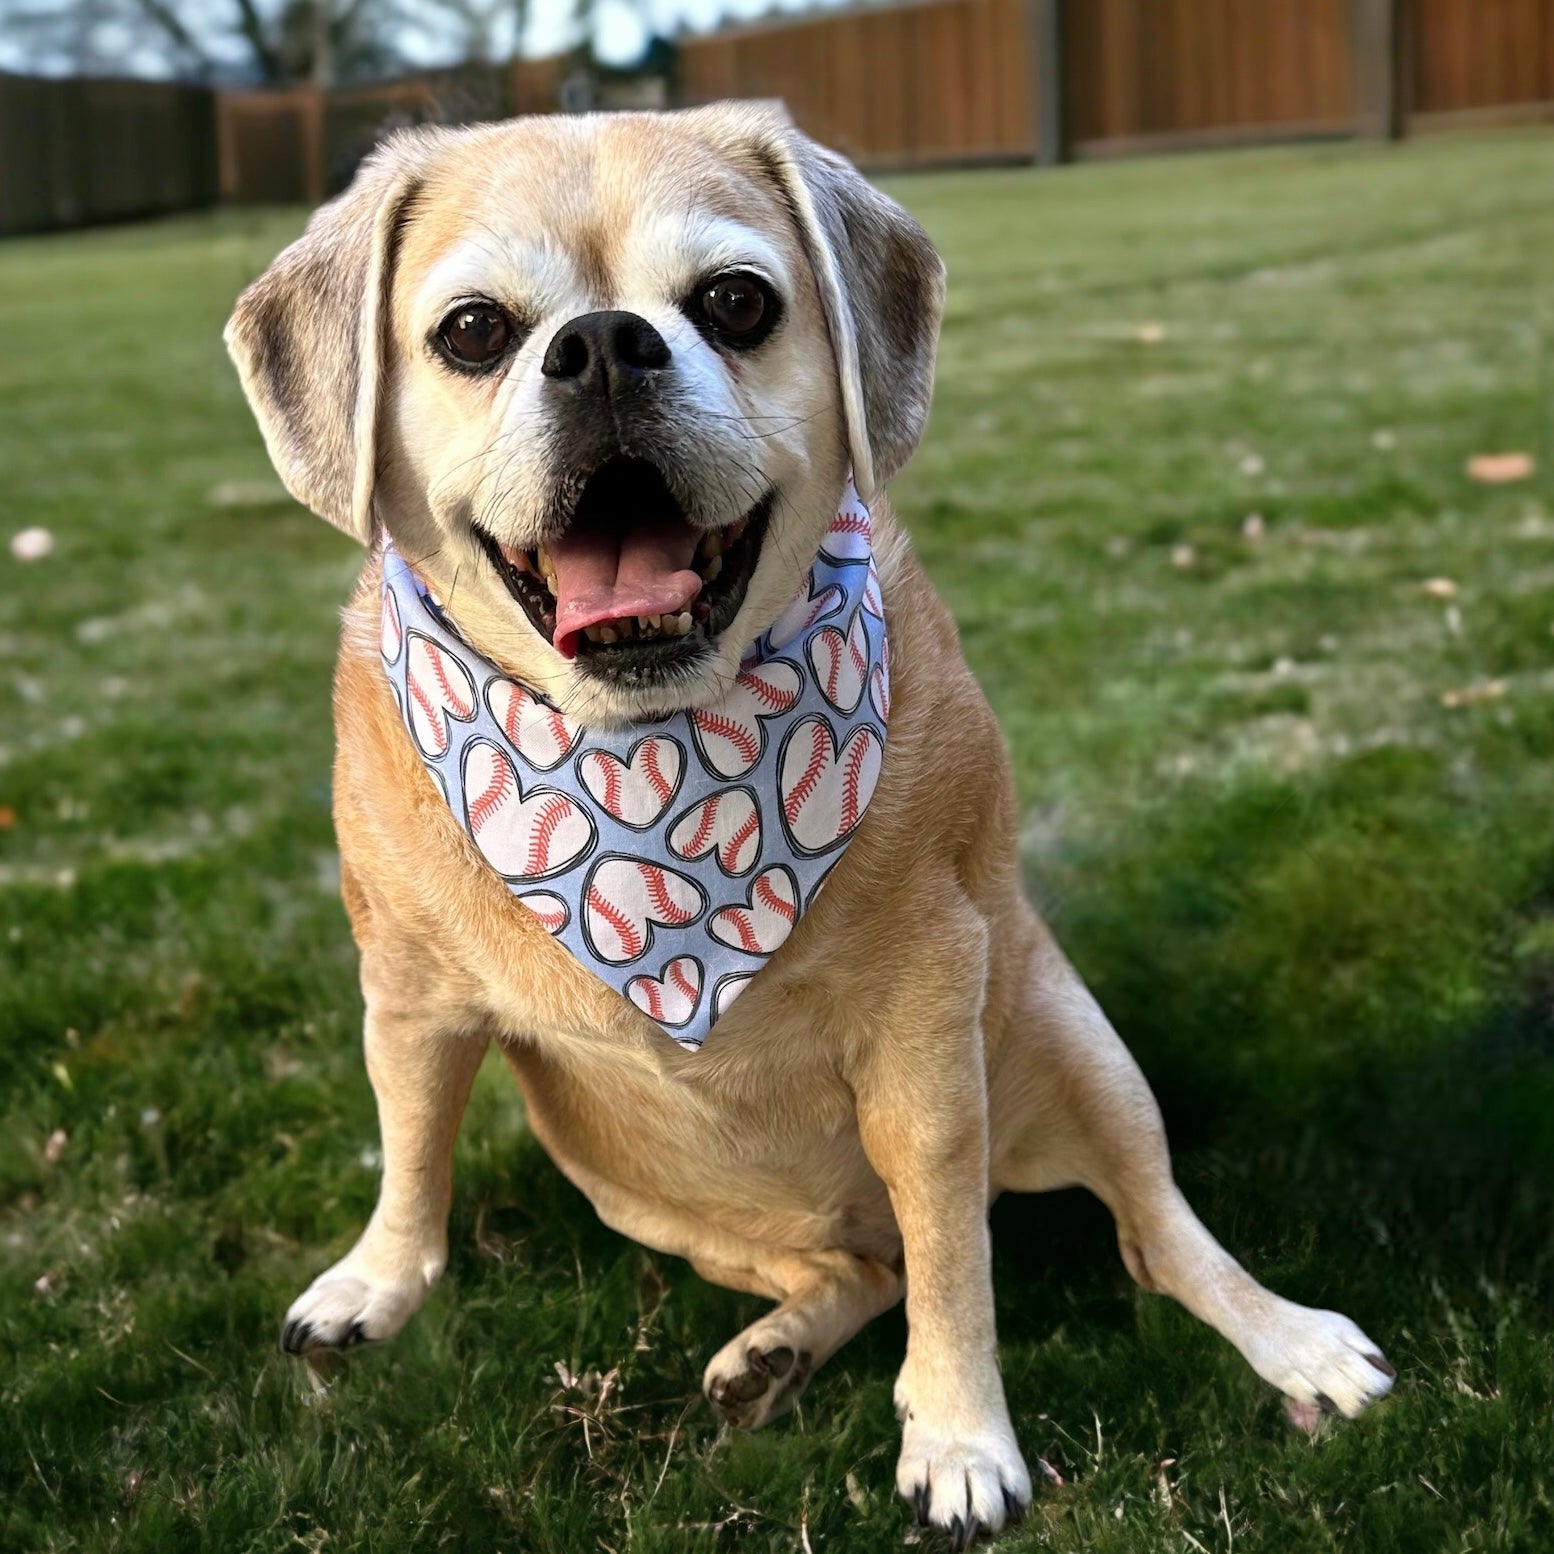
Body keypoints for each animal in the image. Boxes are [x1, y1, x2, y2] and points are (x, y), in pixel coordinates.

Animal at [222, 103, 1398, 1547]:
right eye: (474, 331)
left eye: (736, 302)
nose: (603, 344)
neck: (647, 754)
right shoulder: (408, 991)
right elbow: (411, 1147)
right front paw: (376, 1279)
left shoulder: (924, 1033)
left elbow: (958, 1255)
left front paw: (959, 1433)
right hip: (633, 1185)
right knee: (861, 1267)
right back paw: (775, 1347)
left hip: (1077, 1047)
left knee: (1142, 1240)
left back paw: (1290, 1340)